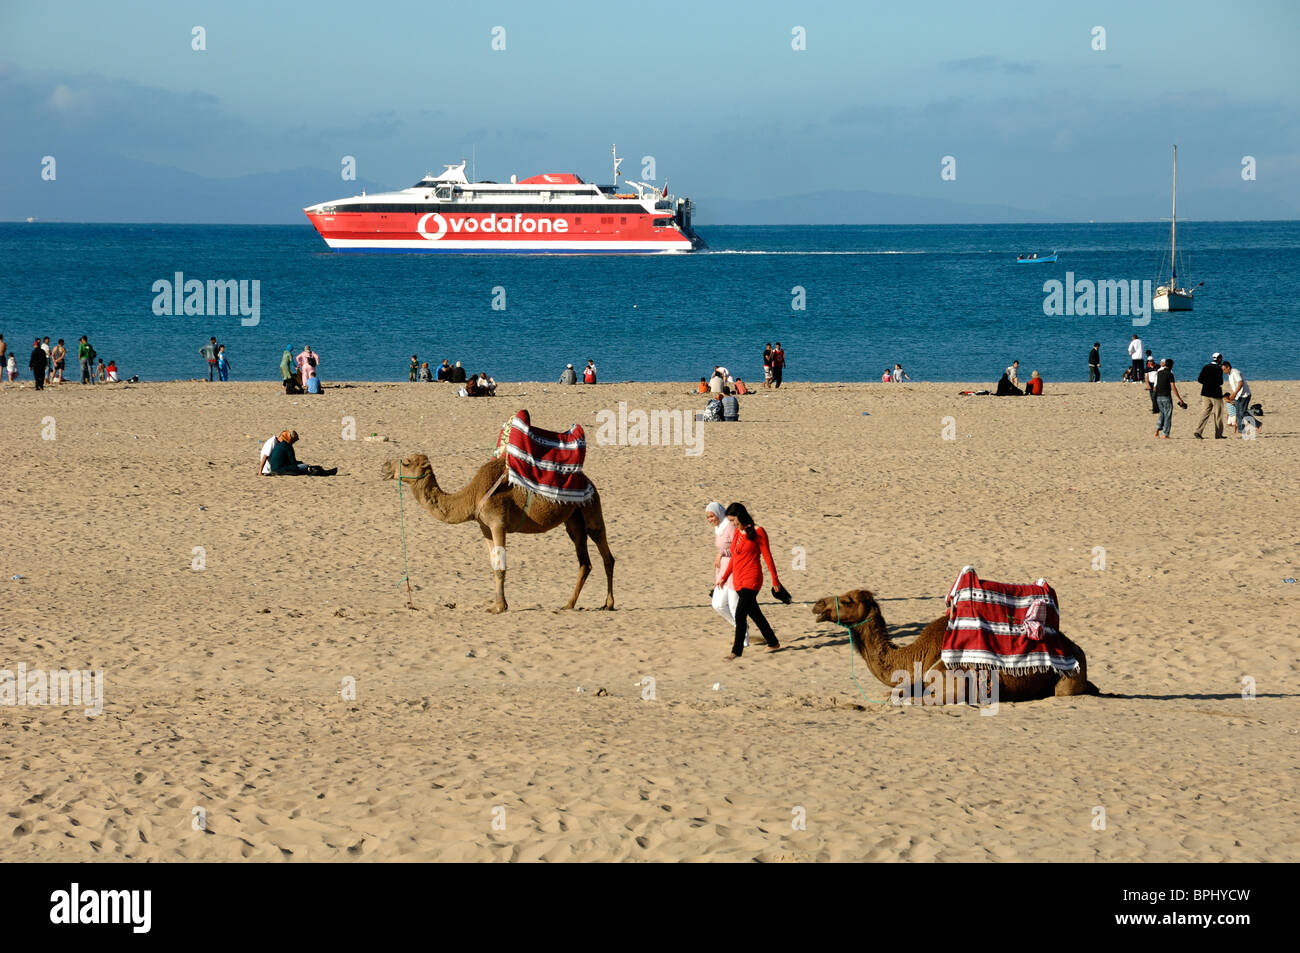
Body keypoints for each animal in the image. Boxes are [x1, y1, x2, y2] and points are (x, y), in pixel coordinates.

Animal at [379, 452, 613, 613]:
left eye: (406, 462)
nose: (384, 467)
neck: (472, 496)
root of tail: (589, 482)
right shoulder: (484, 528)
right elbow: (494, 566)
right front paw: (498, 603)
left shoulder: (497, 522)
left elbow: (501, 567)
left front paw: (499, 607)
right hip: (573, 519)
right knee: (584, 561)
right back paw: (569, 604)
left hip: (591, 507)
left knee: (604, 551)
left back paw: (608, 604)